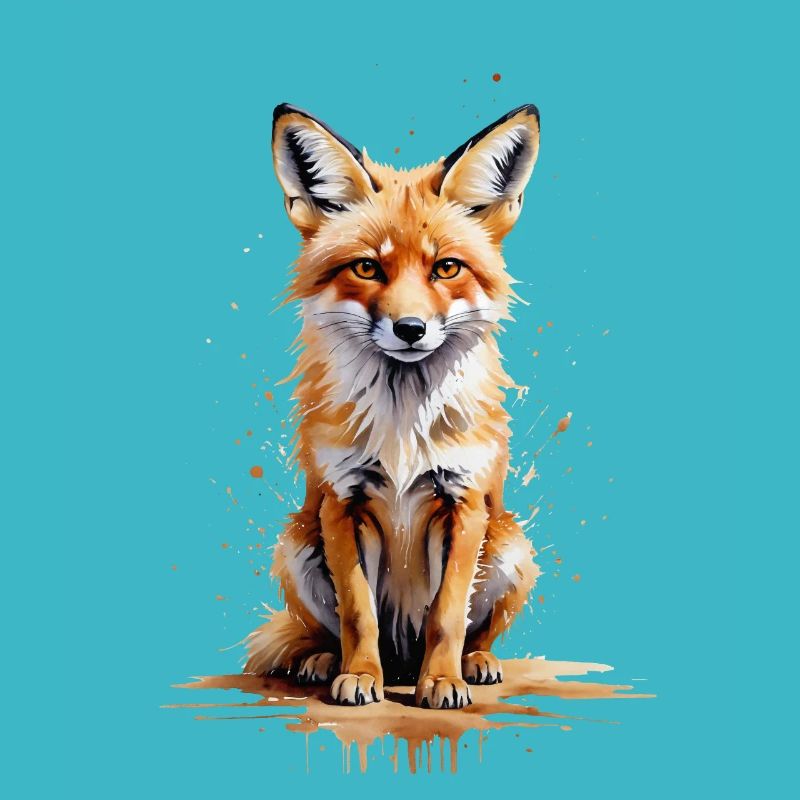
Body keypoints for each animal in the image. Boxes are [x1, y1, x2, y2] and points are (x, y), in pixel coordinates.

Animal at [244, 103, 542, 710]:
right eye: (367, 268)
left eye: (446, 268)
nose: (410, 329)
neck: (405, 425)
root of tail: (403, 660)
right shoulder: (343, 502)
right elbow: (359, 614)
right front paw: (360, 675)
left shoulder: (462, 503)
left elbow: (447, 616)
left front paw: (443, 681)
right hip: (295, 546)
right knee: (330, 632)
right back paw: (325, 661)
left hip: (512, 549)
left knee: (470, 630)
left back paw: (474, 663)